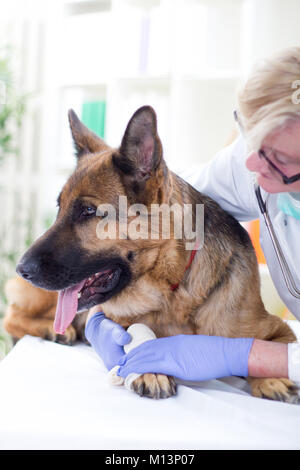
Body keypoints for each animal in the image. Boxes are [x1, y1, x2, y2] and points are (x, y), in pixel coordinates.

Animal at [4, 105, 298, 400]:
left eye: (88, 211)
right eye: (59, 207)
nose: (22, 268)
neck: (173, 290)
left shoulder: (278, 331)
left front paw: (271, 378)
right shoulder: (113, 320)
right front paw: (150, 369)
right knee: (11, 316)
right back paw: (49, 330)